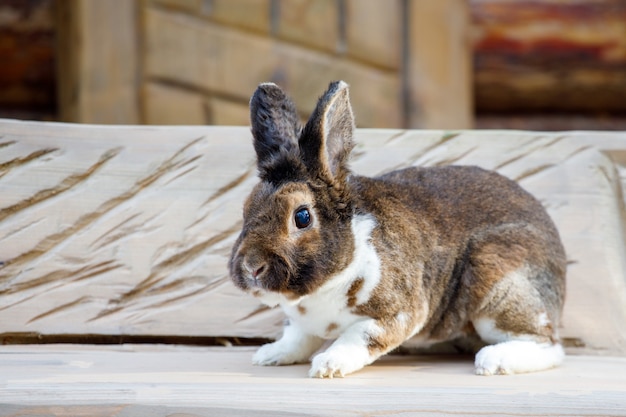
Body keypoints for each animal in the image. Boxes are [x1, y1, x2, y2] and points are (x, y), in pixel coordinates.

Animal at [228, 80, 564, 376]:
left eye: (301, 217)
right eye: (245, 208)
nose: (252, 266)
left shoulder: (398, 313)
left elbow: (358, 337)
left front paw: (328, 365)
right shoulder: (302, 325)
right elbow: (297, 337)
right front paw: (269, 355)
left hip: (496, 284)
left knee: (550, 346)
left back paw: (493, 361)